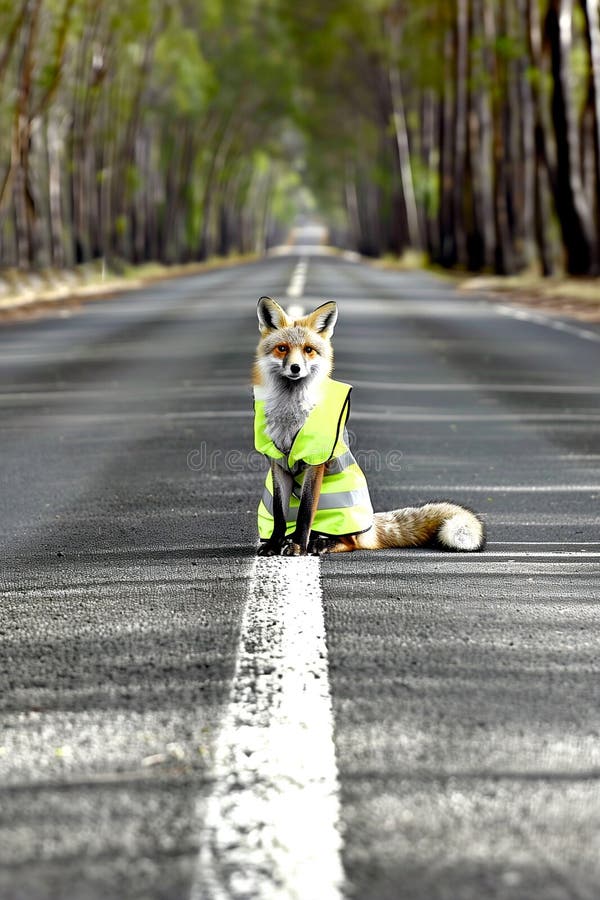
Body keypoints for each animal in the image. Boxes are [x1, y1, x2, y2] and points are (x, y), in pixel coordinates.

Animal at [251, 296, 486, 556]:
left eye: (308, 350)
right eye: (282, 348)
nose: (295, 368)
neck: (290, 413)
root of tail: (370, 525)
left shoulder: (315, 462)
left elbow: (305, 513)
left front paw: (298, 546)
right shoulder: (278, 464)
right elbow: (280, 515)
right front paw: (274, 543)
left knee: (351, 541)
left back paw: (320, 543)